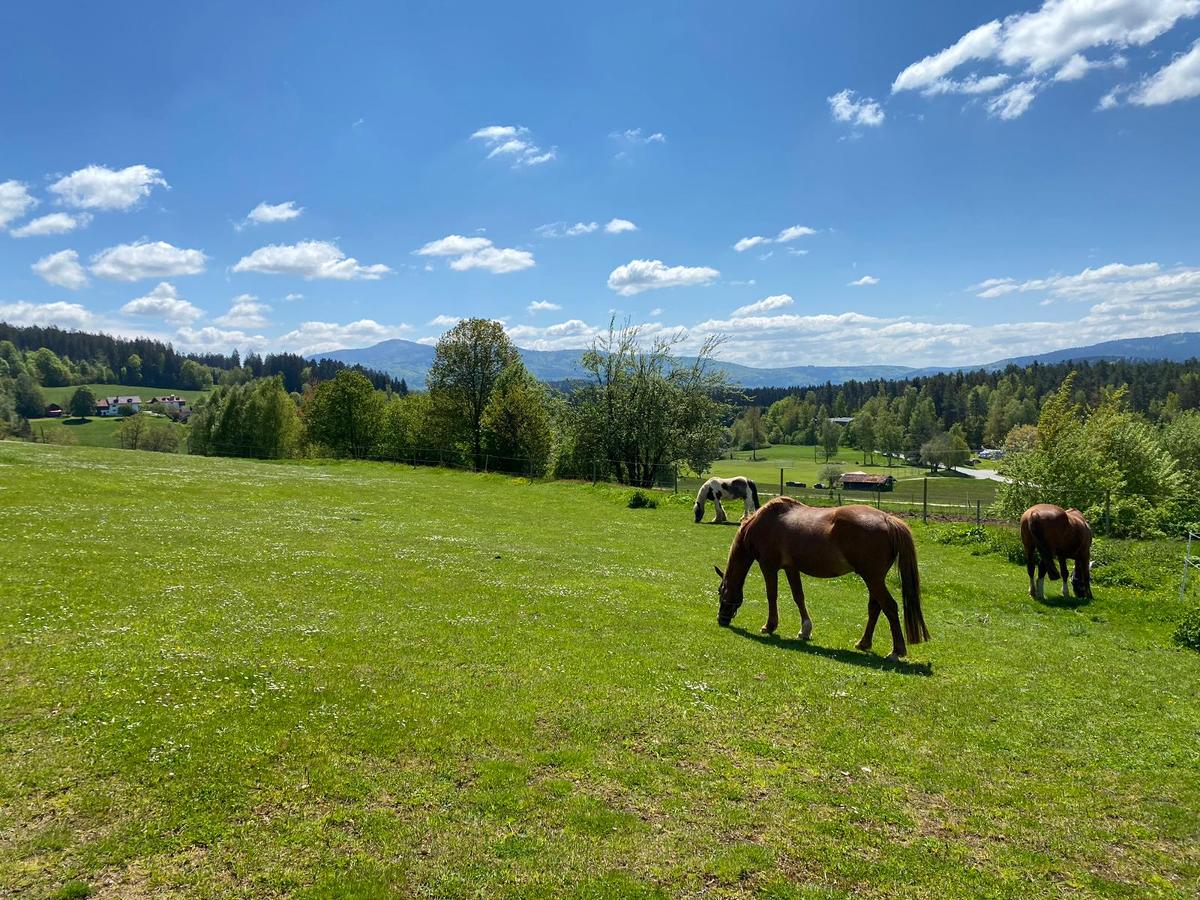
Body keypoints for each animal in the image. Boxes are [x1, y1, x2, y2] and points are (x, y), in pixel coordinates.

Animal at [710, 496, 926, 657]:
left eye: (721, 592)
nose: (721, 619)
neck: (765, 523)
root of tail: (888, 520)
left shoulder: (768, 567)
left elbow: (772, 595)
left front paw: (769, 626)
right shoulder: (791, 568)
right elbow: (798, 596)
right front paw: (805, 629)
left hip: (873, 579)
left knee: (889, 607)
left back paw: (896, 651)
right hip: (874, 579)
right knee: (875, 608)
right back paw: (863, 643)